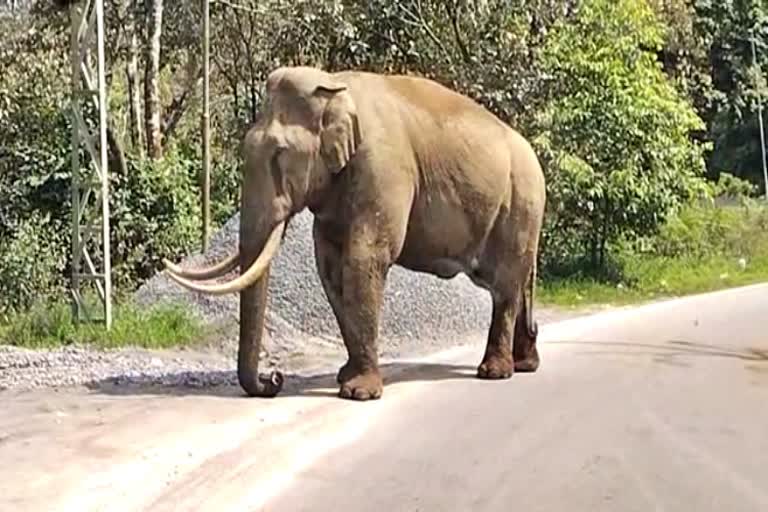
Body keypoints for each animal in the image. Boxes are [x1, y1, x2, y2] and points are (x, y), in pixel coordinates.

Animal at [162, 65, 544, 400]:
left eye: (280, 155)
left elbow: (365, 259)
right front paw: (345, 376)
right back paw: (525, 364)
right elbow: (330, 268)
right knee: (513, 284)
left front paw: (359, 392)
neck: (334, 85)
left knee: (504, 285)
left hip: (521, 204)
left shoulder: (382, 167)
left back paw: (495, 372)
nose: (274, 378)